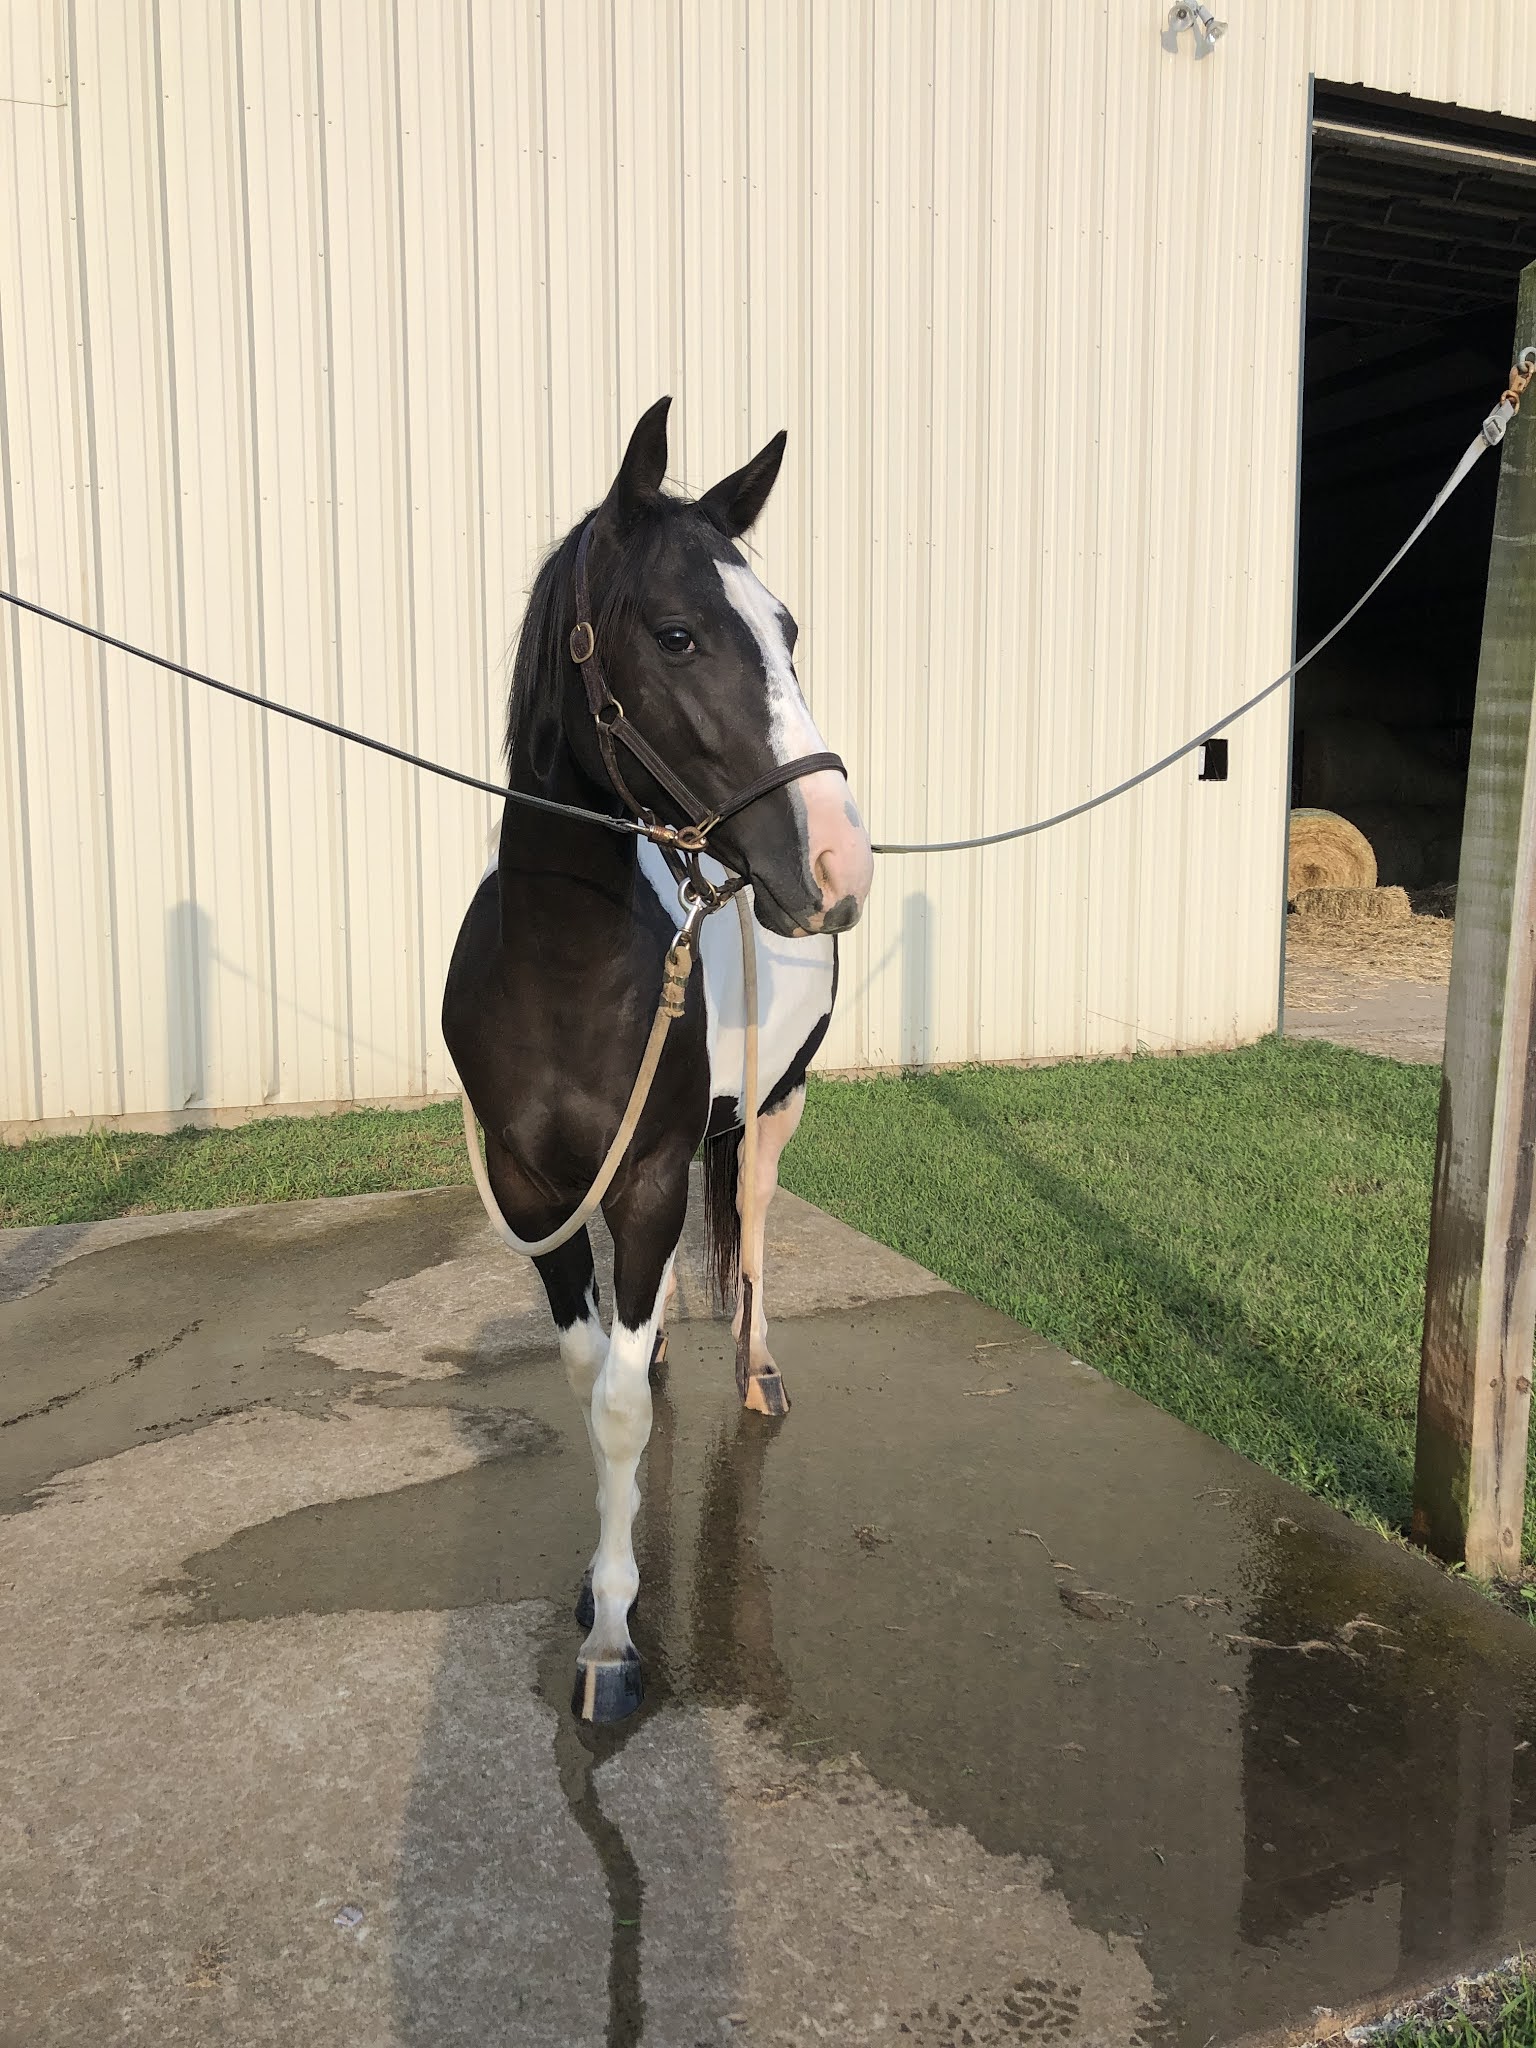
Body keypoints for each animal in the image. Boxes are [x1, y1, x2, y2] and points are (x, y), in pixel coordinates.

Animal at [441, 397, 873, 1723]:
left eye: (788, 628)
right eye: (679, 633)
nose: (839, 863)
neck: (564, 973)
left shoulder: (641, 1173)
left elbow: (622, 1406)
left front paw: (616, 1636)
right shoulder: (535, 1188)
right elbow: (596, 1374)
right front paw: (600, 1587)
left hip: (773, 1108)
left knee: (754, 1234)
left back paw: (757, 1374)